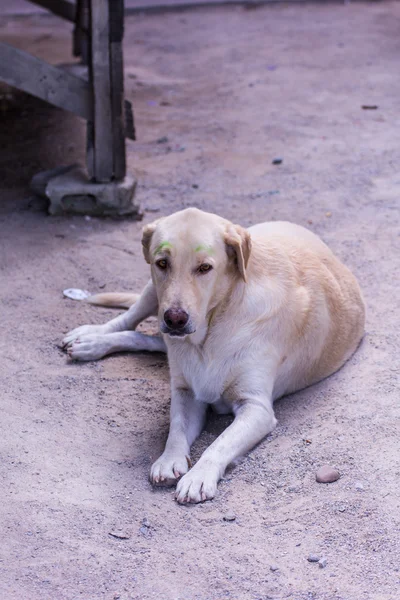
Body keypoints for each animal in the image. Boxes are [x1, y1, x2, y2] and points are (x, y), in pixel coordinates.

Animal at [62, 209, 366, 504]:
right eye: (162, 263)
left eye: (205, 268)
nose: (175, 319)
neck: (210, 333)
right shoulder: (186, 391)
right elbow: (176, 429)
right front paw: (169, 460)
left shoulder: (256, 408)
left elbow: (218, 443)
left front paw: (198, 477)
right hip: (153, 294)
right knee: (130, 319)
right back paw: (90, 338)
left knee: (147, 339)